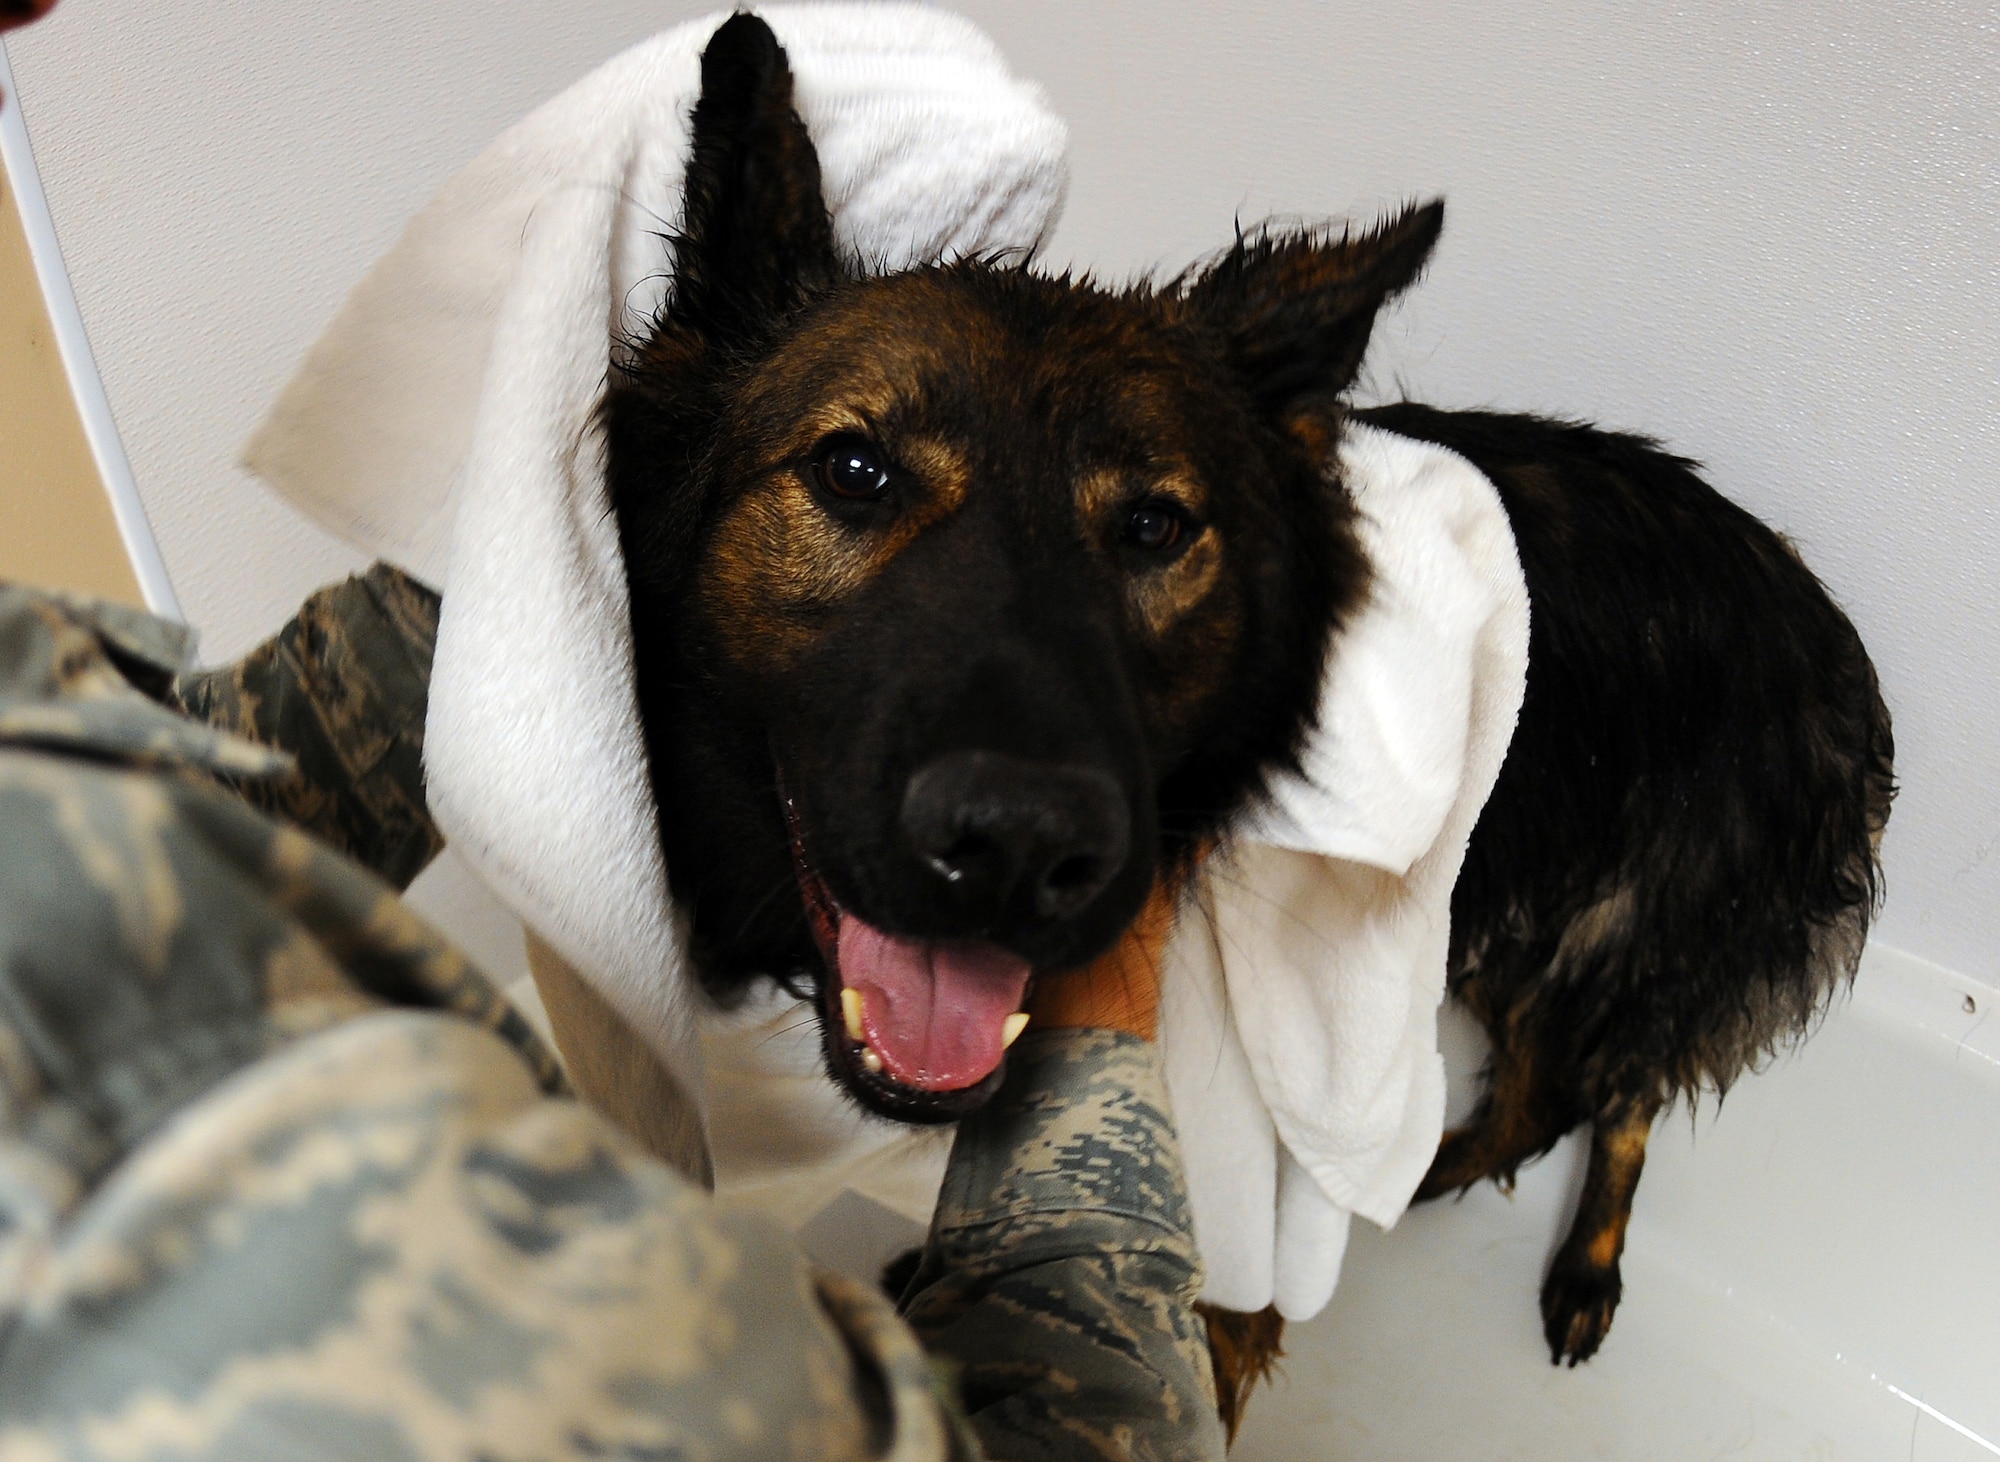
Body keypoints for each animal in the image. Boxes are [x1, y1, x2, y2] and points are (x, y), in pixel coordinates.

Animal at [588, 8, 1888, 1432]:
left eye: (1156, 526)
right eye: (852, 470)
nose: (1019, 844)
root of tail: (1821, 634)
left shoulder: (1230, 1214)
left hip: (1624, 937)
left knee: (1621, 1091)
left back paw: (1571, 1262)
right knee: (1540, 1093)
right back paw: (1439, 1172)